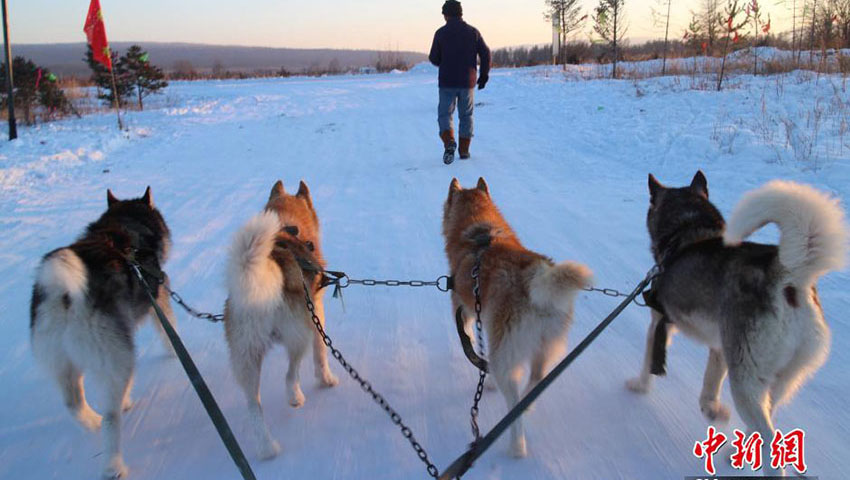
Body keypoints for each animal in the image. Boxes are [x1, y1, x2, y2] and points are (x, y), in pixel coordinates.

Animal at [29, 188, 174, 480]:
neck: (125, 226)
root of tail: (64, 296)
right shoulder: (158, 296)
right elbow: (168, 333)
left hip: (63, 362)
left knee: (73, 403)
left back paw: (93, 421)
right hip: (118, 356)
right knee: (112, 416)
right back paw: (113, 464)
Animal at [225, 182, 338, 460]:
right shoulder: (317, 313)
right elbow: (321, 353)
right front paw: (326, 379)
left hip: (247, 360)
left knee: (254, 407)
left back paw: (268, 449)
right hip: (299, 336)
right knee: (291, 373)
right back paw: (295, 397)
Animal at [440, 177, 592, 458]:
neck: (480, 233)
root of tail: (535, 279)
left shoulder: (468, 312)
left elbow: (473, 341)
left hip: (505, 352)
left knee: (511, 395)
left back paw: (516, 445)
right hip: (544, 345)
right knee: (536, 379)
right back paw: (527, 404)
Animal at [624, 171, 840, 474]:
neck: (688, 229)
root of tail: (788, 275)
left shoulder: (658, 324)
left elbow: (648, 364)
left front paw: (639, 386)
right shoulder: (720, 349)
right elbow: (709, 387)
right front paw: (711, 410)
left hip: (745, 381)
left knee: (769, 440)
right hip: (778, 380)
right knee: (765, 421)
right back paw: (737, 453)